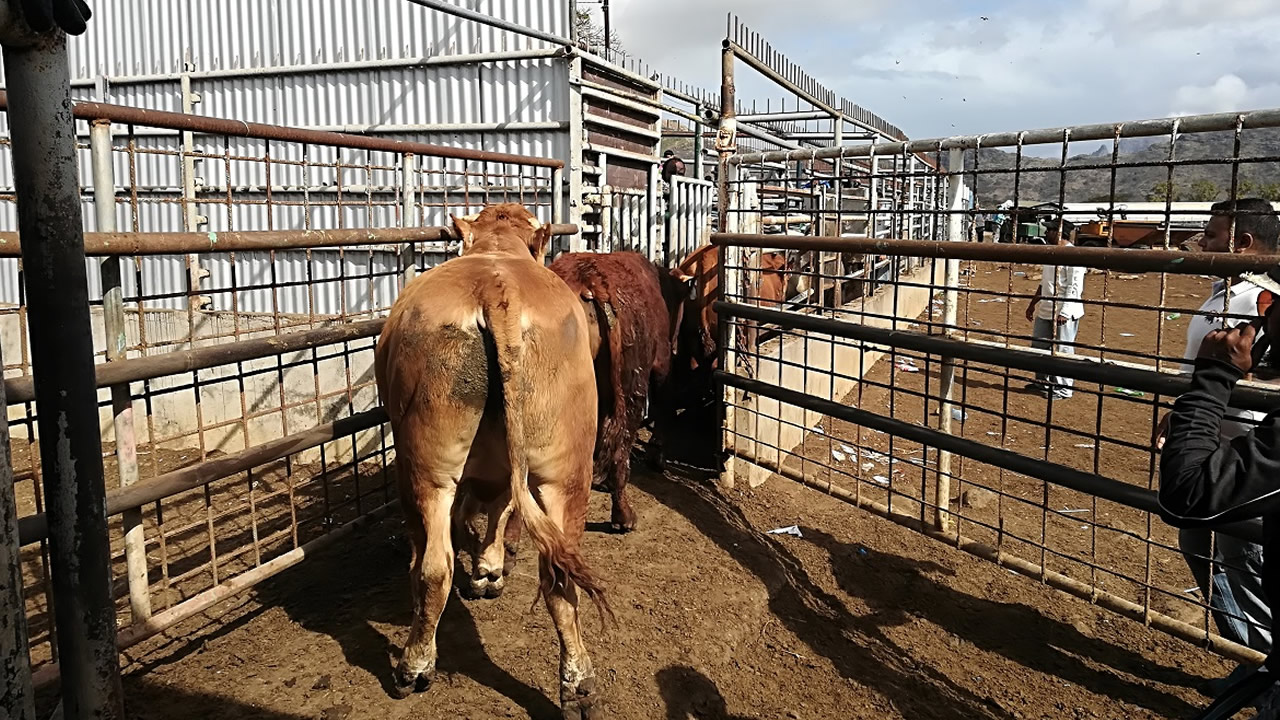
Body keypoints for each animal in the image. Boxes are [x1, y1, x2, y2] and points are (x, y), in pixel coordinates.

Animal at [373, 198, 606, 712]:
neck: (498, 249)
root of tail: (497, 290)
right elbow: (501, 509)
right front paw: (490, 568)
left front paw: (483, 569)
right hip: (567, 470)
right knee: (559, 575)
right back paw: (578, 682)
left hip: (425, 465)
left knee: (434, 566)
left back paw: (413, 665)